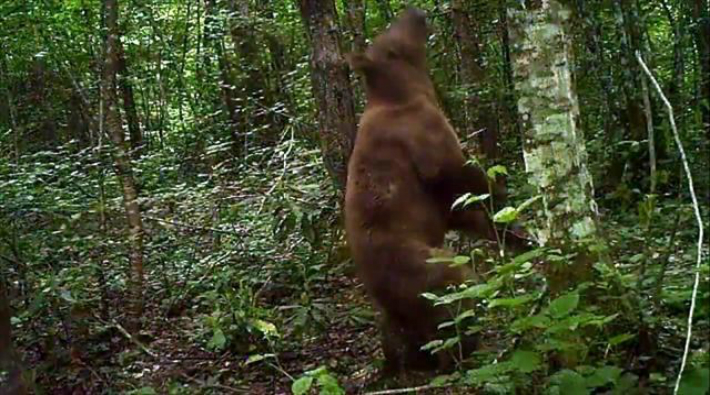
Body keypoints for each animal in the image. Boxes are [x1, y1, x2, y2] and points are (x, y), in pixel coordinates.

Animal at [348, 6, 508, 374]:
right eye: (391, 38)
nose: (413, 10)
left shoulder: (439, 205)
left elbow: (463, 211)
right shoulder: (427, 137)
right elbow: (463, 176)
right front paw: (501, 192)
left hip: (400, 309)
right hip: (426, 269)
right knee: (456, 299)